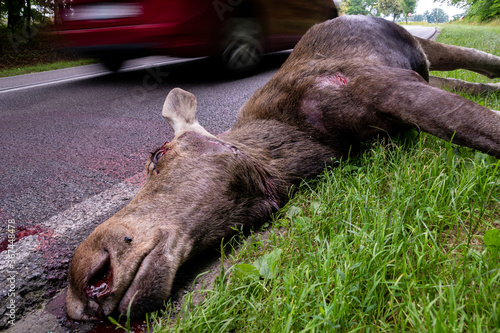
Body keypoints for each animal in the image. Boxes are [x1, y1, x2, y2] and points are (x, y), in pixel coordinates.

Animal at [66, 14, 500, 320]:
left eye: (157, 154)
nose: (84, 284)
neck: (303, 145)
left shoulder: (376, 82)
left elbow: (483, 128)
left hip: (422, 48)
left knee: (484, 64)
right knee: (473, 84)